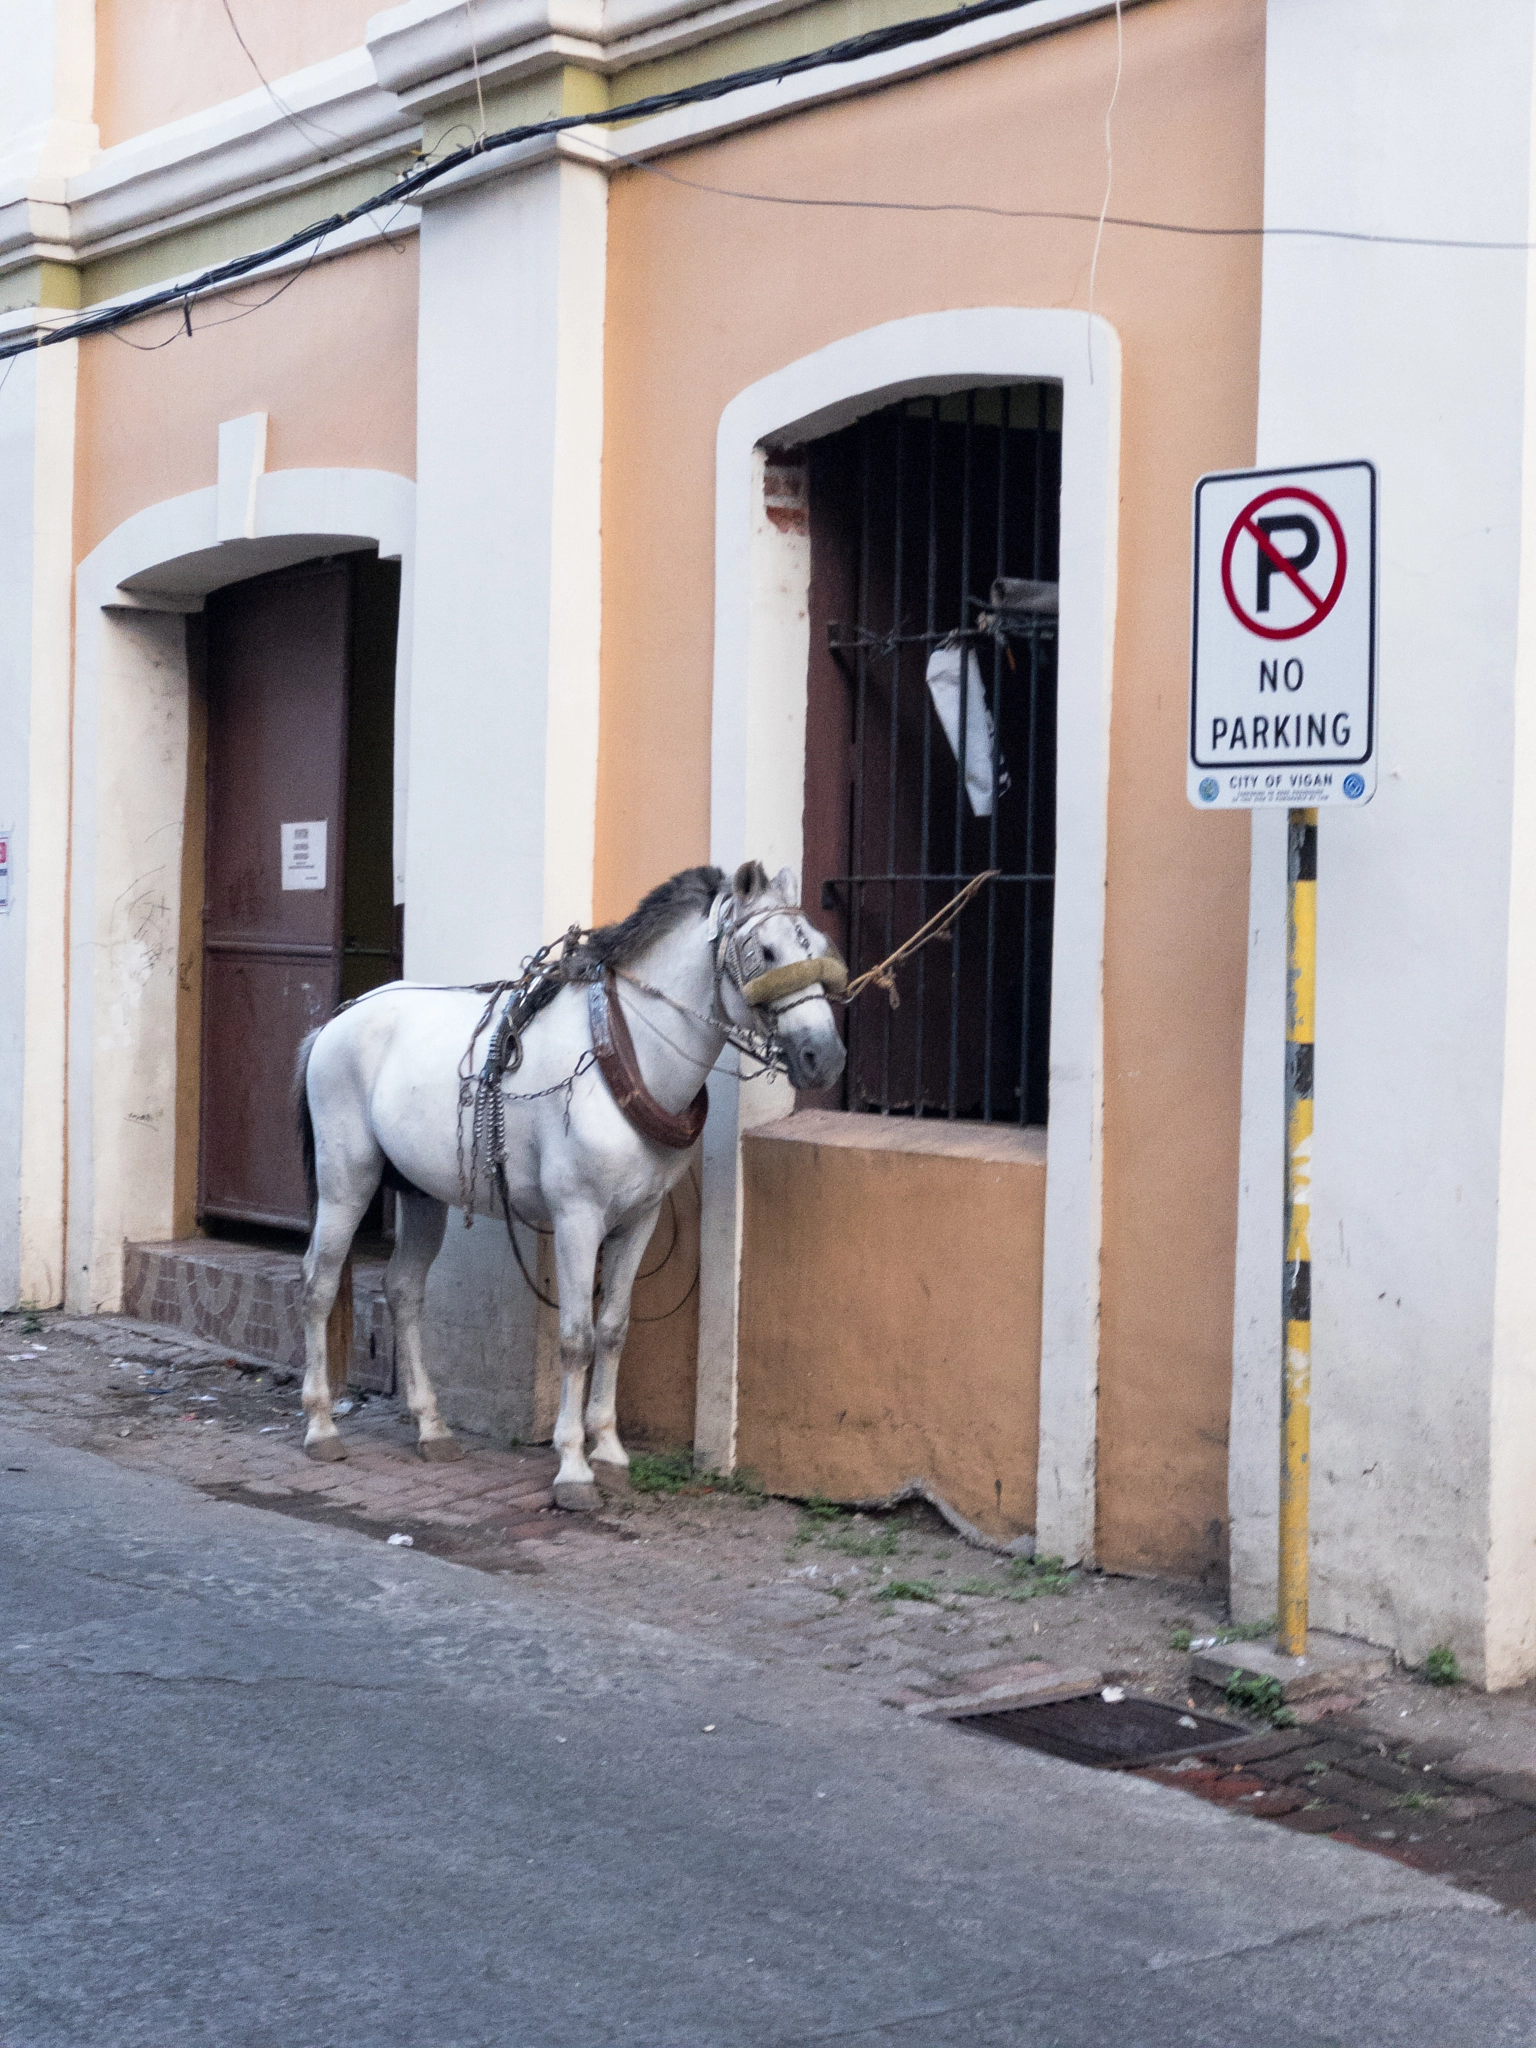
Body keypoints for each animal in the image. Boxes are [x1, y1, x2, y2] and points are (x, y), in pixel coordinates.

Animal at [294, 860, 847, 1507]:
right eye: (766, 950)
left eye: (818, 946)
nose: (825, 1057)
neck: (627, 1050)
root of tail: (339, 1016)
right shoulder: (577, 1217)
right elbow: (576, 1338)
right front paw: (573, 1467)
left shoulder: (639, 1219)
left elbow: (612, 1329)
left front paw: (607, 1450)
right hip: (345, 1182)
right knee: (318, 1284)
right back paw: (321, 1425)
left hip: (422, 1191)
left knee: (405, 1291)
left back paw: (431, 1427)